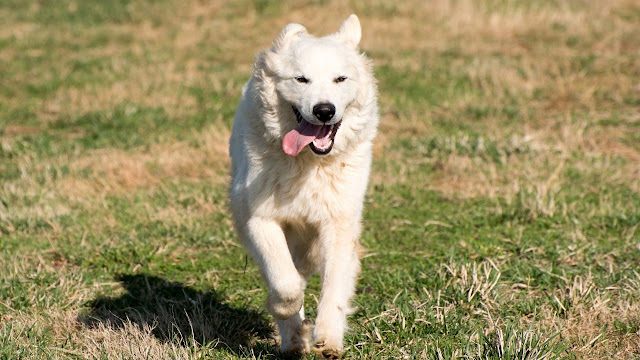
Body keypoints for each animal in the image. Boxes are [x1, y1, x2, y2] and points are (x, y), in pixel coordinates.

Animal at [229, 14, 378, 358]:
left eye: (340, 79)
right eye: (301, 80)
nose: (324, 110)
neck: (309, 164)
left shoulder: (338, 225)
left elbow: (333, 288)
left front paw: (328, 339)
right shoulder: (260, 221)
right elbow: (285, 284)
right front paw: (285, 310)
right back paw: (293, 340)